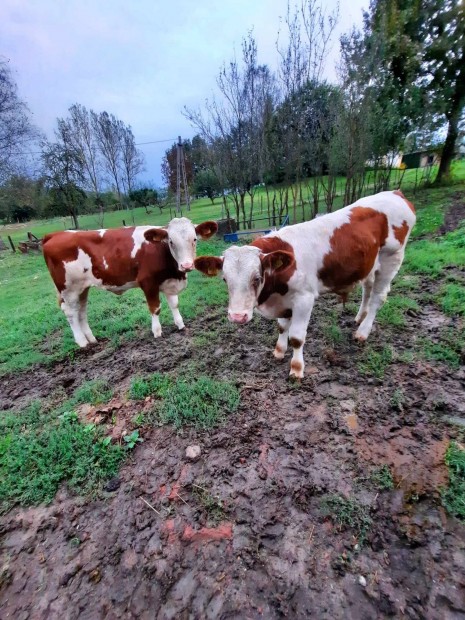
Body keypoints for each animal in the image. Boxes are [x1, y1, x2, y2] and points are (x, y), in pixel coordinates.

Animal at [43, 218, 218, 346]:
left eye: (194, 239)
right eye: (171, 241)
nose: (186, 265)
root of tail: (54, 235)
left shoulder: (169, 281)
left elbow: (174, 304)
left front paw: (180, 325)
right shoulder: (148, 282)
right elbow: (155, 308)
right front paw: (157, 332)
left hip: (82, 288)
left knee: (81, 310)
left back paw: (91, 339)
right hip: (68, 289)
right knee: (70, 312)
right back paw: (82, 342)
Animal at [194, 189, 416, 378]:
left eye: (256, 278)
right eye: (225, 279)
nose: (237, 317)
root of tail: (395, 193)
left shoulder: (304, 299)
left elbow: (297, 337)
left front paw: (296, 368)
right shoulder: (283, 300)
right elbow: (282, 327)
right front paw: (279, 351)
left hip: (392, 258)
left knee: (379, 297)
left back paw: (363, 332)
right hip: (370, 263)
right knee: (367, 289)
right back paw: (360, 317)